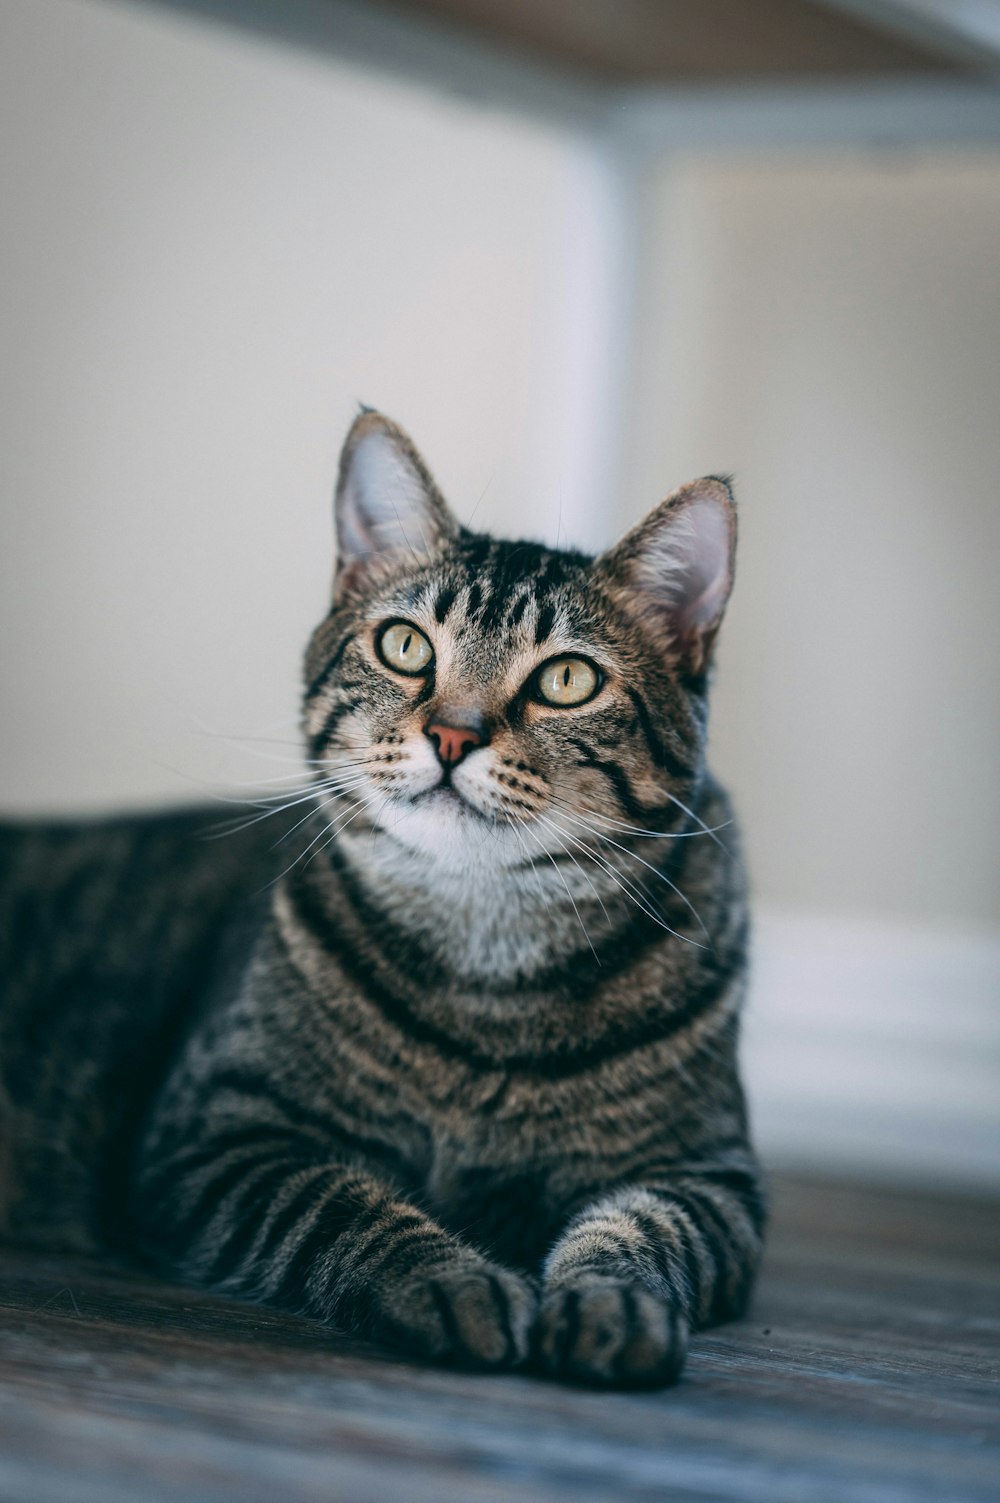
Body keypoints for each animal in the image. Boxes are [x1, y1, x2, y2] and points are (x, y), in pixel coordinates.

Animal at [1, 408, 763, 1382]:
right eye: (404, 645)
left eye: (568, 679)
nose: (452, 734)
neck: (487, 957)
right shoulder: (219, 1130)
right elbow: (340, 1205)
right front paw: (452, 1279)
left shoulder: (707, 1173)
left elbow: (641, 1231)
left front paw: (611, 1303)